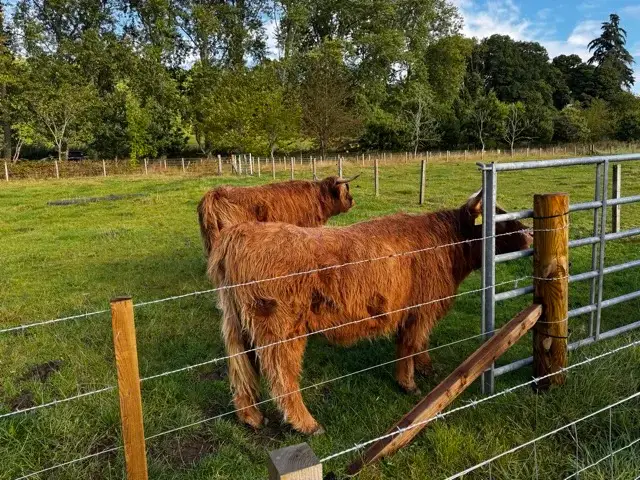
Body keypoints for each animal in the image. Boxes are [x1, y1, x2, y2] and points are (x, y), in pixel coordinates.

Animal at [210, 190, 532, 435]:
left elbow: (419, 343)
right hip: (281, 330)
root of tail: (239, 233)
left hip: (238, 325)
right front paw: (409, 383)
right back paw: (307, 424)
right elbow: (410, 345)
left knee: (241, 368)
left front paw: (426, 368)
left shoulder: (416, 312)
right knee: (281, 375)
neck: (448, 244)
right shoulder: (419, 310)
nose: (530, 234)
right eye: (500, 222)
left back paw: (251, 417)